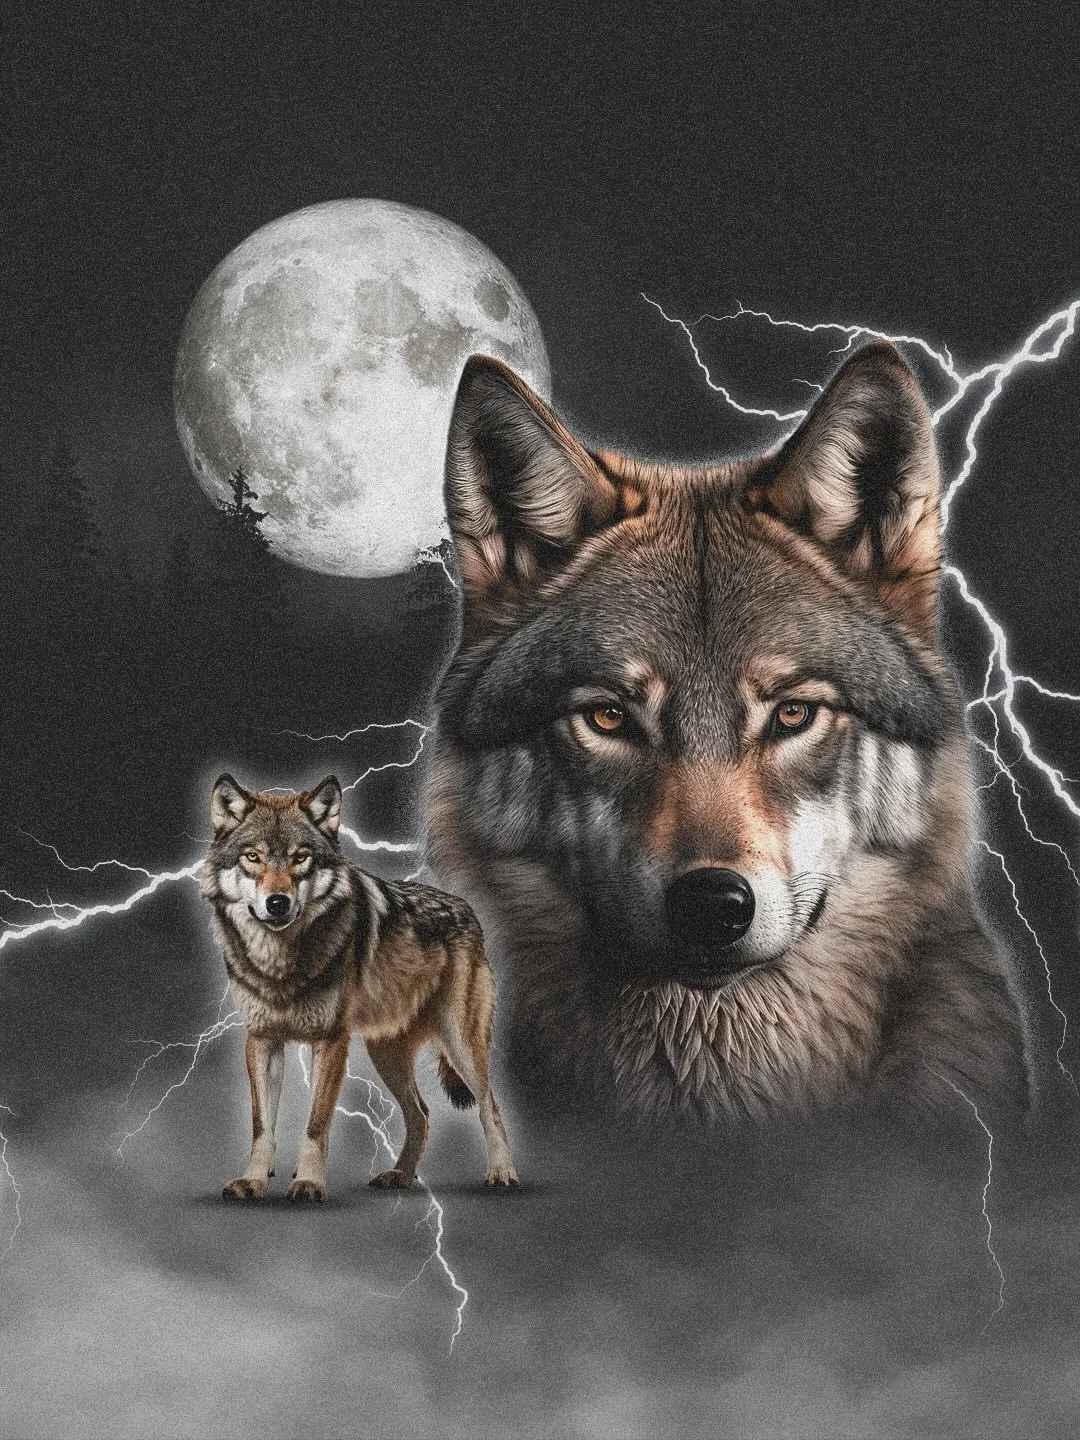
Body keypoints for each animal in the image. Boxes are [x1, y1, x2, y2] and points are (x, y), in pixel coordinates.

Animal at [200, 774, 517, 1199]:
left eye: (301, 858)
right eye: (253, 857)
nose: (277, 902)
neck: (280, 963)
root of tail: (467, 908)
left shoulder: (331, 1041)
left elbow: (315, 1125)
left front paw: (308, 1183)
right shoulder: (262, 1040)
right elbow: (262, 1127)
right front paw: (253, 1181)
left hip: (460, 1044)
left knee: (490, 1107)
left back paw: (502, 1173)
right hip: (384, 1053)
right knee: (421, 1114)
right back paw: (399, 1176)